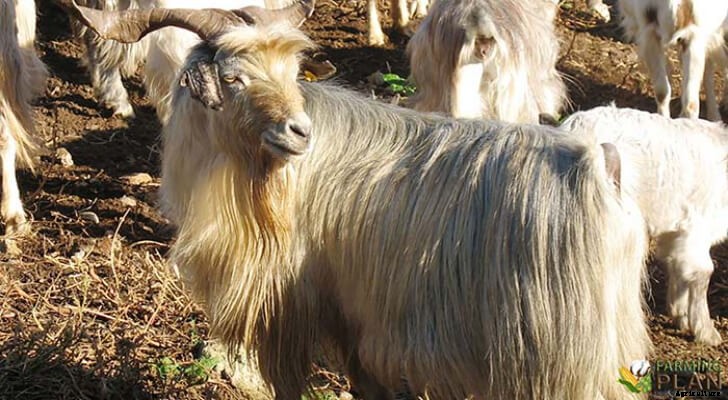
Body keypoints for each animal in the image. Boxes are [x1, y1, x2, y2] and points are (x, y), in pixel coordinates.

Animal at [561, 105, 728, 346]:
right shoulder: (697, 228)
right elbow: (702, 274)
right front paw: (706, 331)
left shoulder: (676, 232)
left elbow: (676, 265)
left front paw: (679, 314)